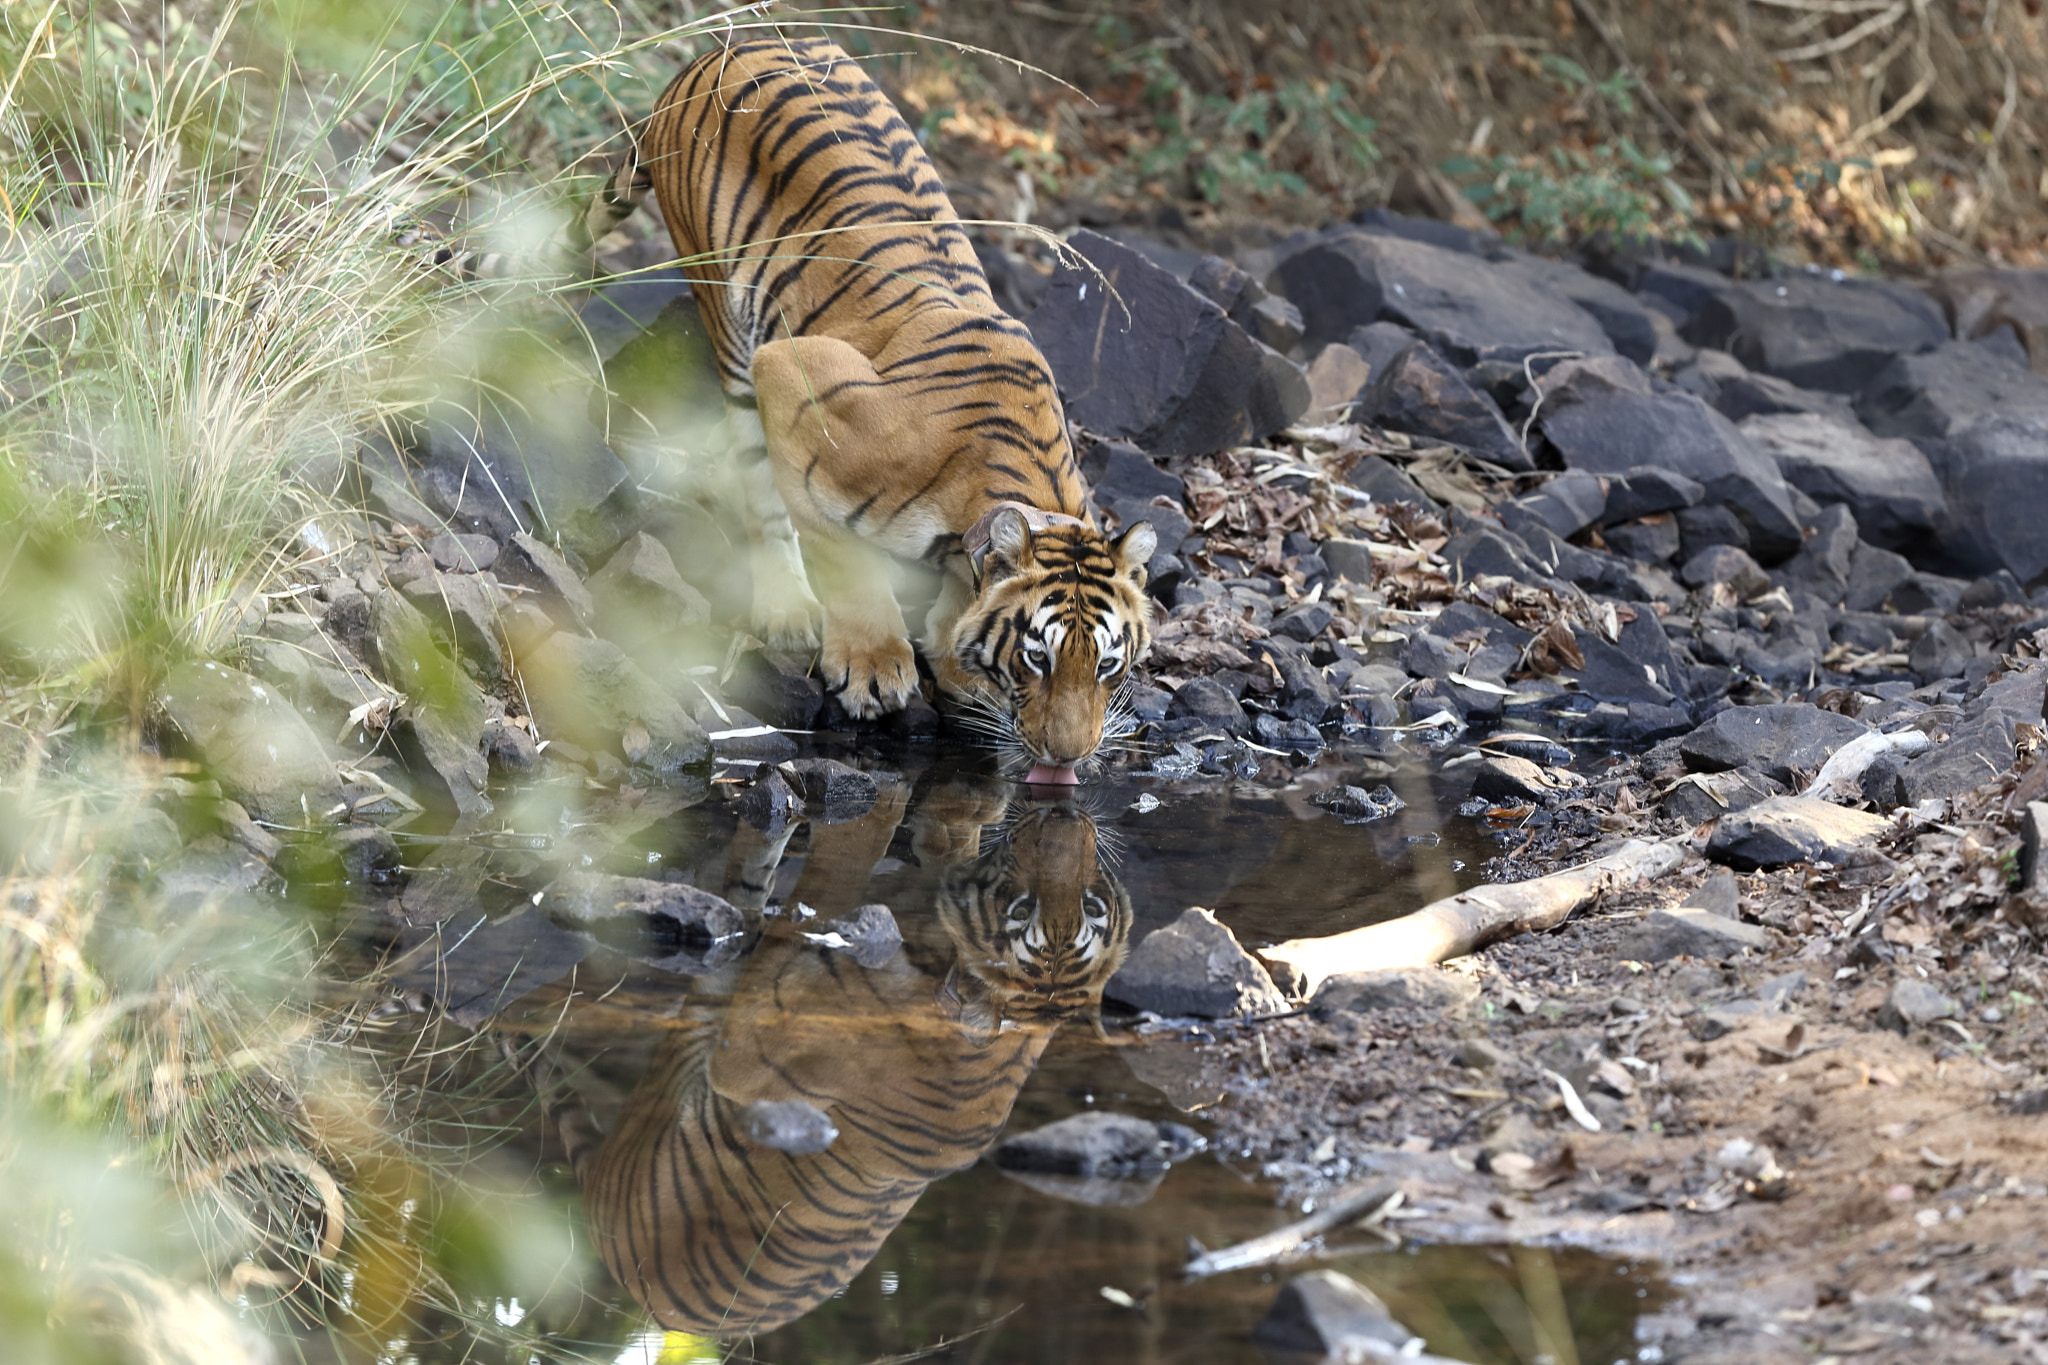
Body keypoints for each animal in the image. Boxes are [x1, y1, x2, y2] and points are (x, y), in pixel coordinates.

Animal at [614, 37, 1155, 785]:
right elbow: (845, 555)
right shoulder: (799, 381)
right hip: (728, 318)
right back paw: (788, 609)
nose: (1066, 757)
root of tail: (721, 49)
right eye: (1036, 656)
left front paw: (953, 658)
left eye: (1106, 665)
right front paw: (873, 668)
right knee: (758, 491)